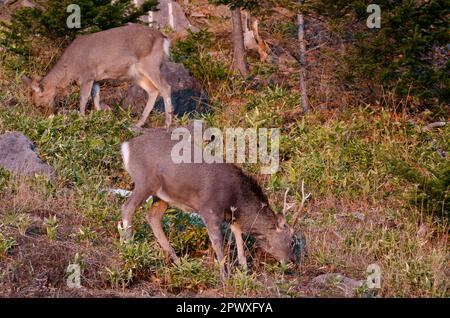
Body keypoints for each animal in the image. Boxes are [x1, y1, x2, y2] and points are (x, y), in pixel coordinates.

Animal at [22, 23, 174, 128]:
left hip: (151, 64)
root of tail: (164, 38)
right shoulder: (96, 79)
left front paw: (81, 118)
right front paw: (99, 117)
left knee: (165, 87)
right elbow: (96, 97)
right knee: (153, 91)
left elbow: (83, 98)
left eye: (39, 101)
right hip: (138, 74)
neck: (71, 68)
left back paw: (167, 123)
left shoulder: (87, 75)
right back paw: (138, 123)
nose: (47, 114)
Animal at [119, 126, 300, 278]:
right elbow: (218, 243)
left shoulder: (232, 217)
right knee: (127, 207)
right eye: (292, 241)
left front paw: (244, 270)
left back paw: (177, 261)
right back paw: (130, 249)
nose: (293, 262)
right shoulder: (209, 209)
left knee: (152, 217)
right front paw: (225, 276)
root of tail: (126, 146)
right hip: (144, 181)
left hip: (163, 196)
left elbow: (238, 236)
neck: (238, 198)